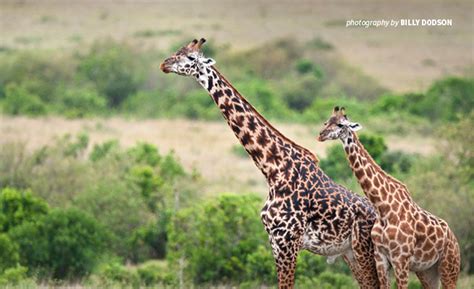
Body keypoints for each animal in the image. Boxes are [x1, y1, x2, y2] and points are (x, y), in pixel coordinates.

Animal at [161, 38, 380, 288]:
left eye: (190, 58)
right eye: (177, 51)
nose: (164, 64)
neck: (273, 169)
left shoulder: (288, 240)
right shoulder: (274, 241)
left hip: (364, 250)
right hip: (349, 252)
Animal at [316, 106, 462, 288]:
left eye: (341, 124)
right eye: (326, 122)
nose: (320, 135)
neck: (383, 207)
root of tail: (454, 239)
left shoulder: (401, 260)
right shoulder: (381, 257)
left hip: (449, 266)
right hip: (427, 271)